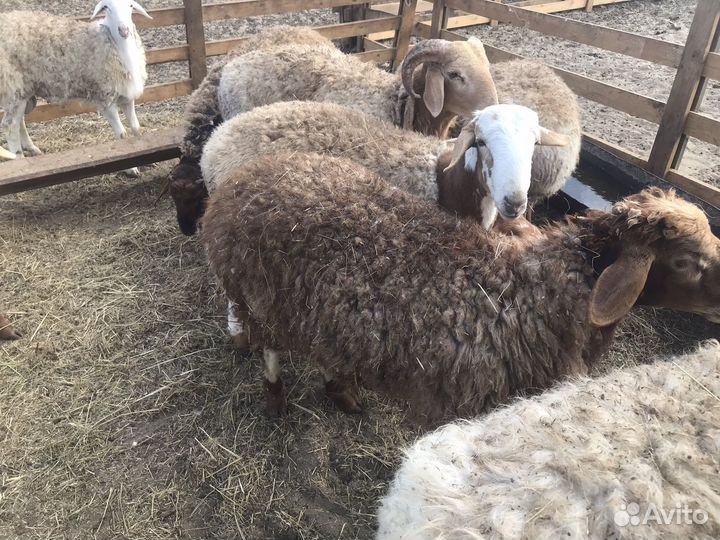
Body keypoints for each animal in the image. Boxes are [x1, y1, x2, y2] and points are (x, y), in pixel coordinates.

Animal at [0, 0, 150, 176]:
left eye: (131, 6)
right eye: (106, 8)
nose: (124, 30)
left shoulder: (126, 96)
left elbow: (136, 128)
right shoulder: (104, 98)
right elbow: (122, 135)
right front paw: (131, 168)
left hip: (23, 90)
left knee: (19, 122)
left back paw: (32, 149)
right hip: (13, 86)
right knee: (10, 126)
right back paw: (19, 160)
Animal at [201, 151, 720, 420]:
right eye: (684, 261)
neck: (546, 288)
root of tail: (244, 177)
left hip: (310, 309)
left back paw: (342, 391)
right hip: (258, 294)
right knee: (270, 349)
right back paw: (275, 398)